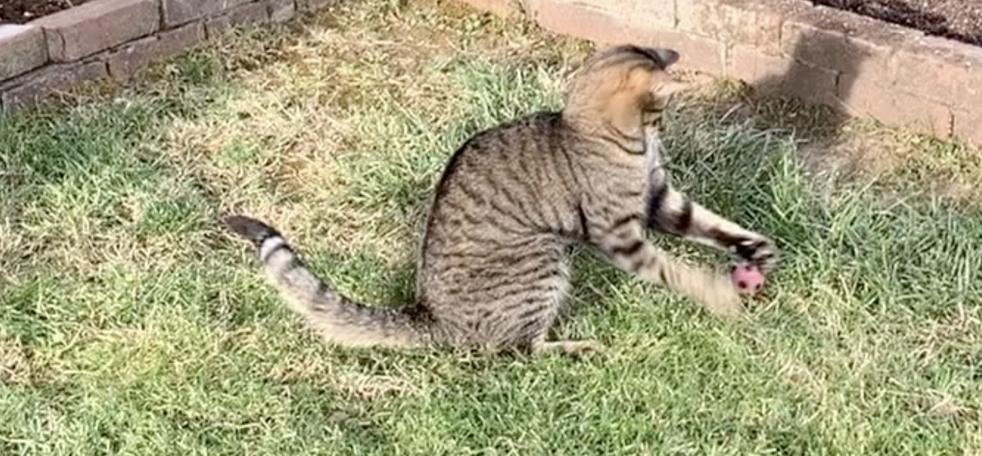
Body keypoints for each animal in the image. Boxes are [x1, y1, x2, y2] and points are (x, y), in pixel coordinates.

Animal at [223, 43, 776, 356]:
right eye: (658, 111)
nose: (662, 127)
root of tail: (430, 316)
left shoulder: (658, 196)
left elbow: (709, 223)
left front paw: (753, 247)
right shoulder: (617, 230)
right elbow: (673, 268)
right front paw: (717, 292)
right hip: (542, 259)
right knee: (515, 349)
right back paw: (575, 347)